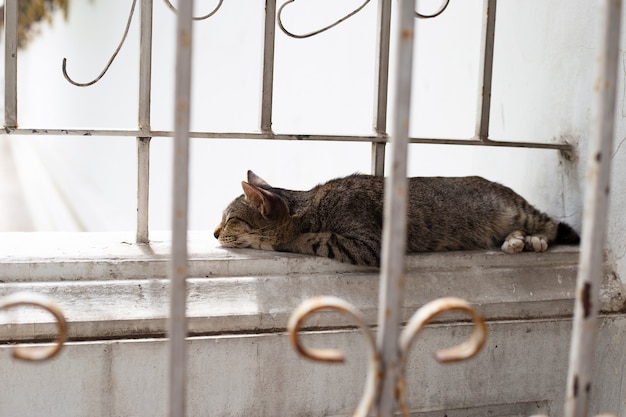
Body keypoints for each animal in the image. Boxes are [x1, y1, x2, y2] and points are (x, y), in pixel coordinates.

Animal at [214, 170, 580, 264]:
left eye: (230, 219)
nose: (215, 233)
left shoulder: (369, 244)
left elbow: (314, 239)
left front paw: (289, 240)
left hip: (517, 211)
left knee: (550, 223)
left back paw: (532, 239)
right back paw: (515, 241)